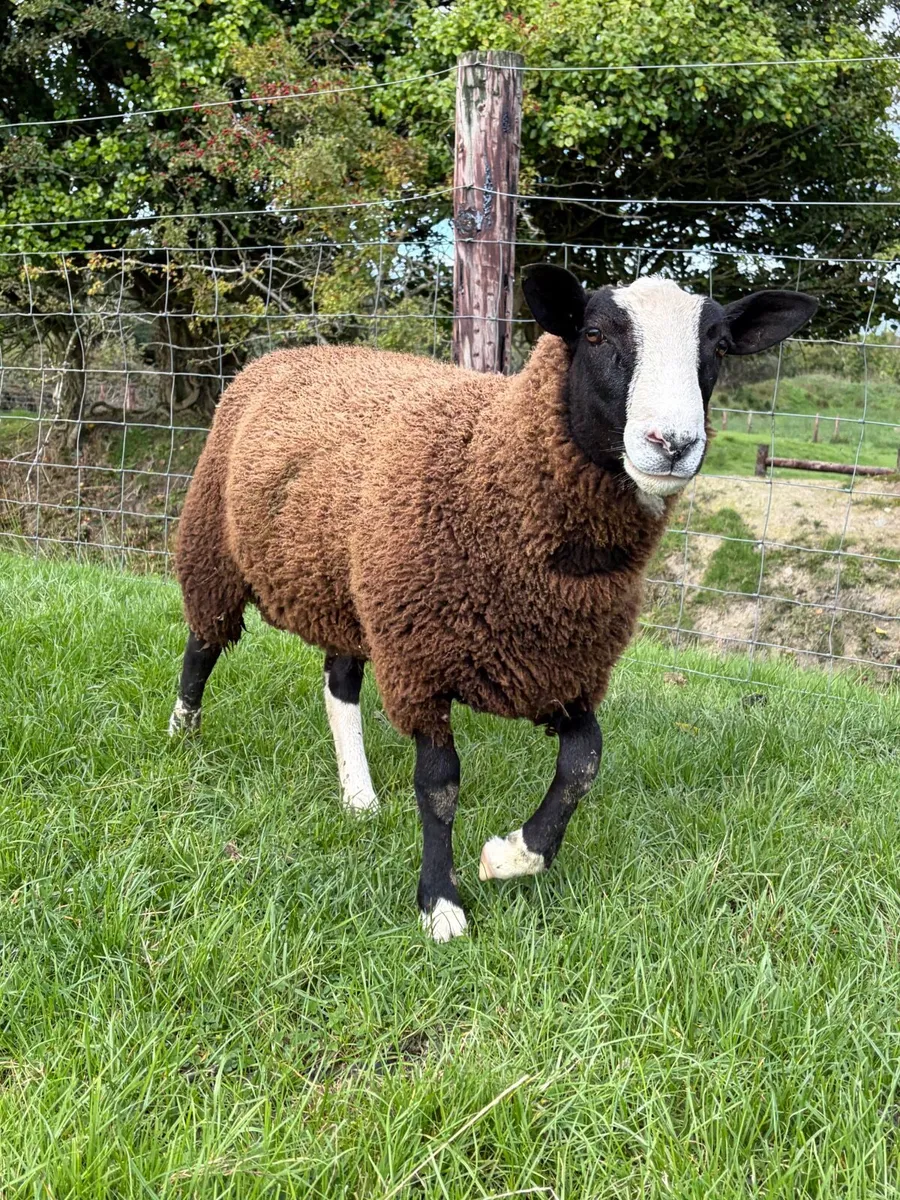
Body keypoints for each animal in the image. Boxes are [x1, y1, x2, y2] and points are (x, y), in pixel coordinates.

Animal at [170, 265, 817, 941]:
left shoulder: (562, 669)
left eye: (717, 346)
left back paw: (359, 797)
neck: (490, 468)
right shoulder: (422, 666)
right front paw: (440, 904)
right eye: (593, 335)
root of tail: (287, 355)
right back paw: (184, 729)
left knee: (339, 681)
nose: (673, 443)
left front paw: (510, 856)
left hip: (352, 591)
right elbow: (439, 786)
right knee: (204, 641)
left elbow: (584, 762)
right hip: (214, 545)